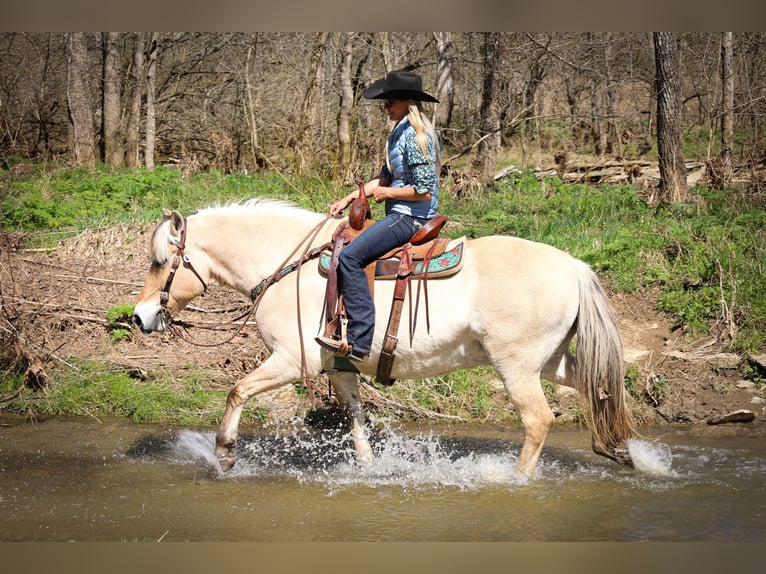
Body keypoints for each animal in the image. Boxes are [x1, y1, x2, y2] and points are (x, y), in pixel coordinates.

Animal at [132, 200, 636, 480]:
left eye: (160, 261)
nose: (140, 317)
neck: (286, 266)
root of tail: (574, 266)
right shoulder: (339, 367)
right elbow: (356, 419)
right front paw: (372, 470)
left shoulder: (294, 361)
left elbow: (237, 390)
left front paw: (224, 453)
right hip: (550, 360)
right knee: (598, 387)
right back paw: (621, 452)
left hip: (516, 367)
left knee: (538, 421)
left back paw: (515, 479)